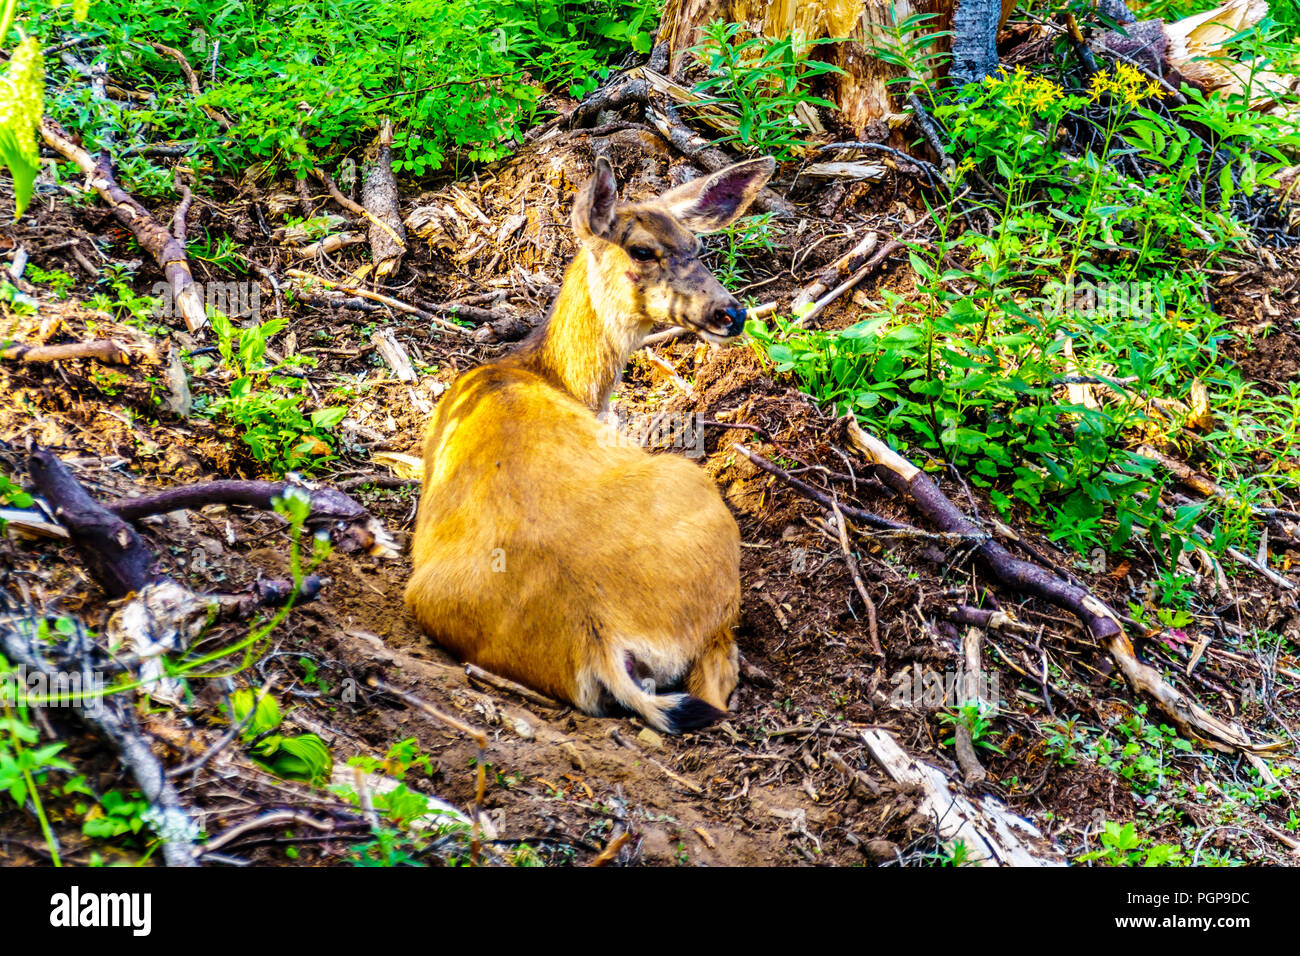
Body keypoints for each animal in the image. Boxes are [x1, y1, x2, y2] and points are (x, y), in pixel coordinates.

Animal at [405, 154, 775, 733]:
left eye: (696, 243)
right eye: (642, 249)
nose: (730, 314)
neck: (543, 372)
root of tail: (598, 637)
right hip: (693, 489)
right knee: (713, 679)